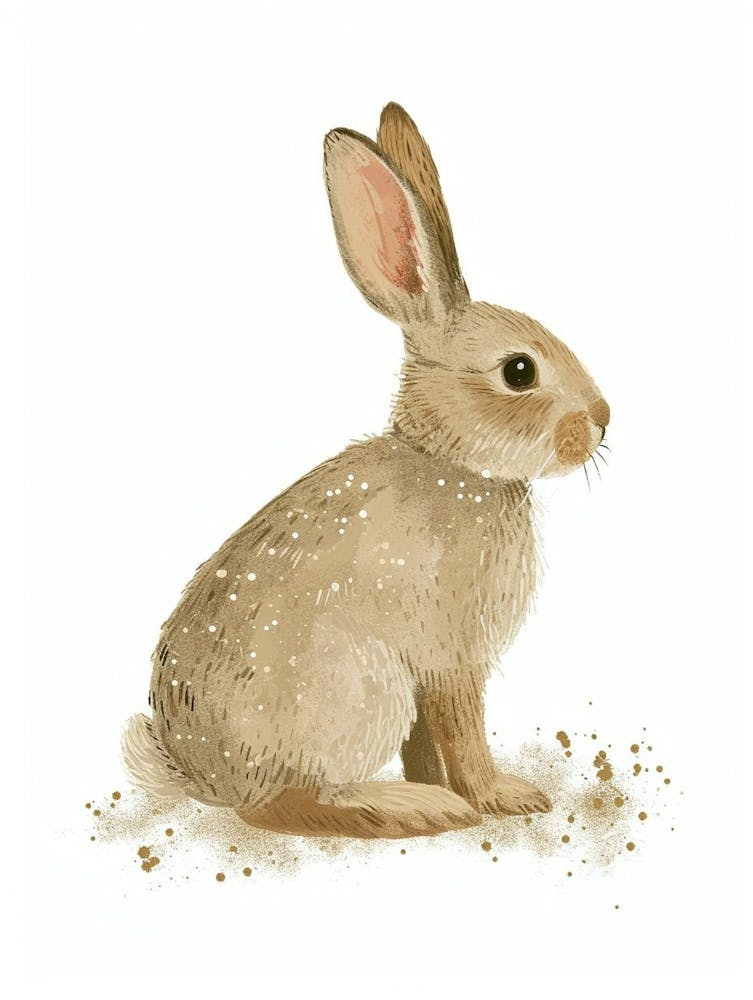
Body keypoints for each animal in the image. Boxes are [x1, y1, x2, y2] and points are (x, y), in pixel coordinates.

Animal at [123, 102, 610, 839]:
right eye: (519, 371)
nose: (603, 419)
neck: (452, 459)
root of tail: (204, 775)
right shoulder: (448, 657)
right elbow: (463, 731)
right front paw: (497, 797)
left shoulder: (428, 675)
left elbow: (428, 743)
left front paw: (449, 785)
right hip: (358, 686)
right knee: (283, 807)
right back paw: (409, 807)